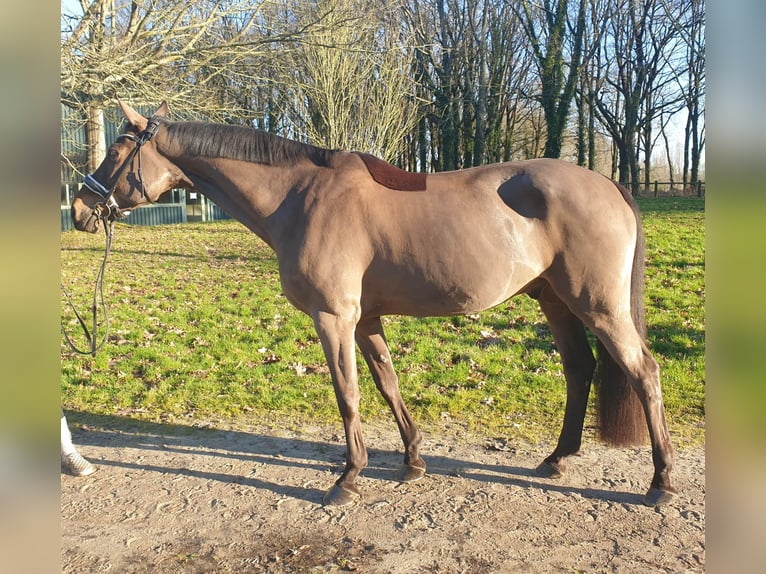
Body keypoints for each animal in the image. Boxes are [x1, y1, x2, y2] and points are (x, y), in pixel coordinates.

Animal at [70, 101, 680, 506]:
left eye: (117, 150)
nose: (79, 208)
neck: (300, 197)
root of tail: (608, 185)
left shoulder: (333, 318)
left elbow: (348, 395)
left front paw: (347, 478)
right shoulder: (364, 319)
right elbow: (387, 385)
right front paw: (412, 460)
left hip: (598, 305)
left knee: (643, 372)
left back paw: (661, 482)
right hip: (555, 300)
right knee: (580, 369)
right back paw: (557, 458)